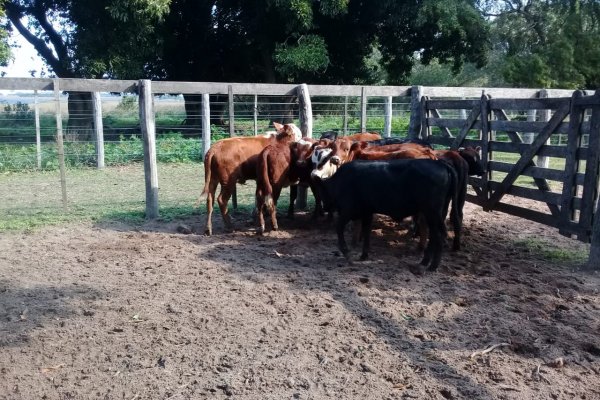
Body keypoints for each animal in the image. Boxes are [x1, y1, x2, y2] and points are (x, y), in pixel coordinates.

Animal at [316, 158, 458, 274]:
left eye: (322, 192)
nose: (325, 207)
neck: (341, 181)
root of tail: (439, 163)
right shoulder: (367, 212)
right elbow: (366, 232)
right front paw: (364, 255)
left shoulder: (348, 210)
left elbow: (339, 228)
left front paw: (347, 253)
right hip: (435, 214)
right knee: (434, 235)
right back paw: (425, 262)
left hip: (431, 212)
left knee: (438, 236)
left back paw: (432, 266)